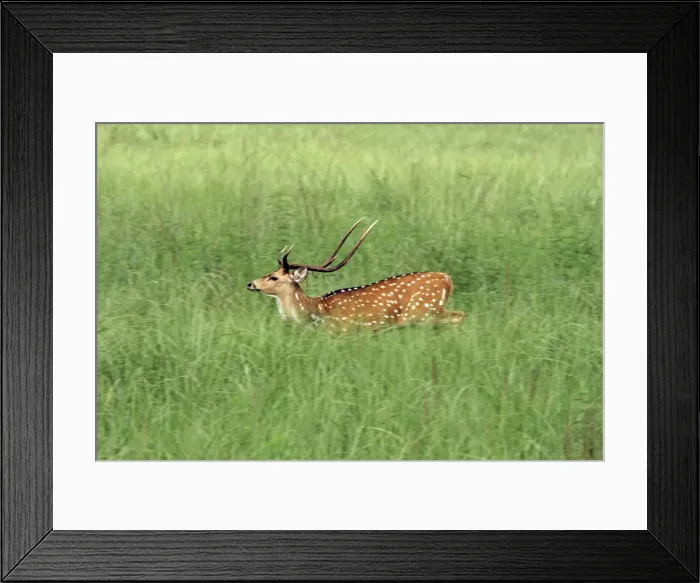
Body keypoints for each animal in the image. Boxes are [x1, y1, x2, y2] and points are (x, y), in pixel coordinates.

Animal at [246, 219, 464, 332]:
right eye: (269, 272)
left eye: (274, 277)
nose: (250, 283)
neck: (314, 314)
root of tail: (447, 279)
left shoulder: (344, 332)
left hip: (421, 313)